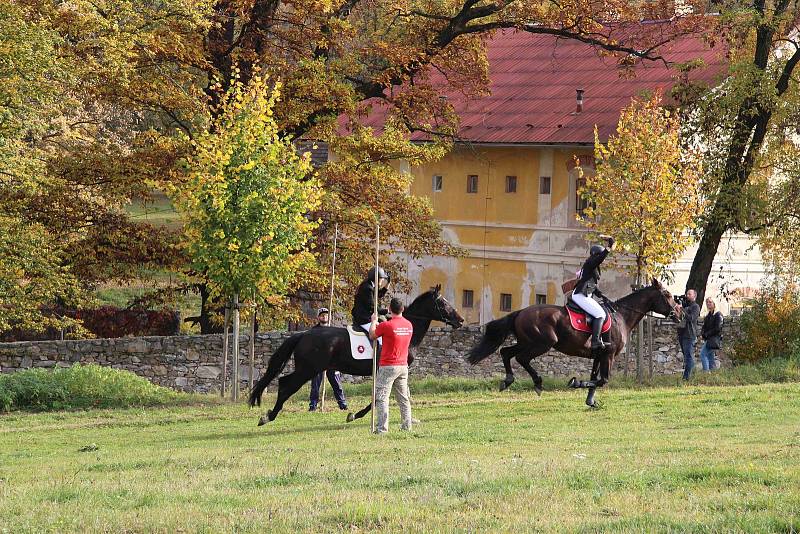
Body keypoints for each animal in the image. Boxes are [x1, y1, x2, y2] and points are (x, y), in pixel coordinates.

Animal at [248, 286, 462, 430]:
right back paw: (269, 416)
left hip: (307, 369)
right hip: (308, 370)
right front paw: (355, 415)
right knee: (286, 385)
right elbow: (378, 397)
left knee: (284, 382)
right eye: (443, 303)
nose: (460, 320)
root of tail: (305, 334)